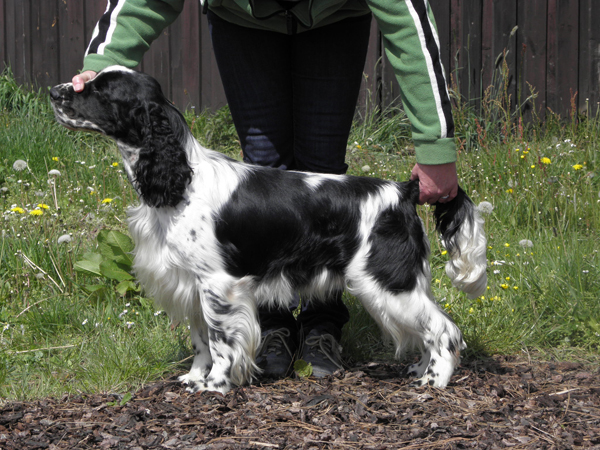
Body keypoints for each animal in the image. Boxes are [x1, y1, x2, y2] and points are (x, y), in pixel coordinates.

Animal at [50, 66, 488, 394]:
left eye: (102, 91)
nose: (55, 91)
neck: (181, 179)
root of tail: (403, 190)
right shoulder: (190, 282)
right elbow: (200, 339)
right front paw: (193, 378)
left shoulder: (219, 284)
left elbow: (220, 341)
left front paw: (215, 385)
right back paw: (421, 369)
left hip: (386, 282)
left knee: (445, 330)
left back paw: (435, 380)